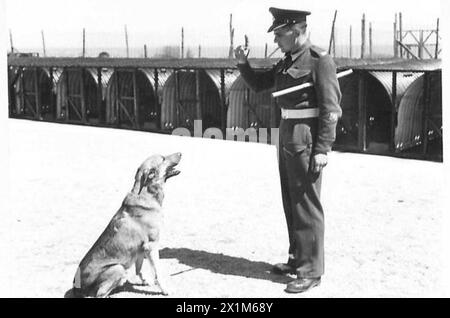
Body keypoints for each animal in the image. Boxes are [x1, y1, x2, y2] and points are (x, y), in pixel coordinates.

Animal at [72, 153, 181, 296]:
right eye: (163, 158)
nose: (180, 153)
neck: (146, 194)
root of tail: (76, 286)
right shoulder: (151, 246)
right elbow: (157, 273)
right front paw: (165, 289)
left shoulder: (141, 249)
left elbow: (139, 269)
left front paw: (144, 281)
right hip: (118, 268)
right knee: (100, 293)